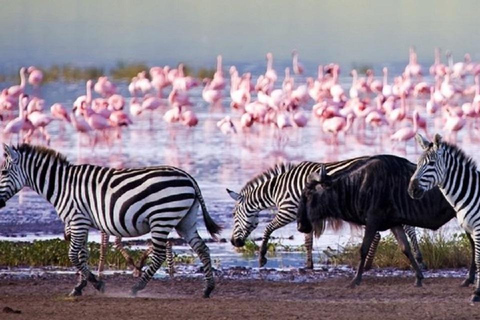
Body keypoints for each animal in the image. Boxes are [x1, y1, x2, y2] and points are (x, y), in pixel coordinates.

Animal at [0, 143, 220, 298]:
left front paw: (97, 284)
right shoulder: (82, 222)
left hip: (161, 218)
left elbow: (73, 255)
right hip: (185, 220)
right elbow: (83, 255)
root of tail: (188, 177)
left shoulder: (77, 220)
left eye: (2, 172)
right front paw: (80, 286)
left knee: (158, 255)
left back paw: (136, 288)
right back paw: (208, 289)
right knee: (202, 248)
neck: (62, 186)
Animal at [227, 159, 422, 268]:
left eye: (234, 215)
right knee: (406, 228)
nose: (234, 242)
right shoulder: (305, 216)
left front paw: (261, 258)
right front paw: (309, 265)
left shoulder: (288, 211)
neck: (278, 189)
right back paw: (419, 258)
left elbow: (268, 229)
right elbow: (308, 242)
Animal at [408, 132, 480, 302]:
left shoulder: (478, 229)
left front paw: (477, 292)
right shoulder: (472, 229)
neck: (471, 191)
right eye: (417, 163)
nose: (412, 190)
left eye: (432, 163)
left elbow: (478, 259)